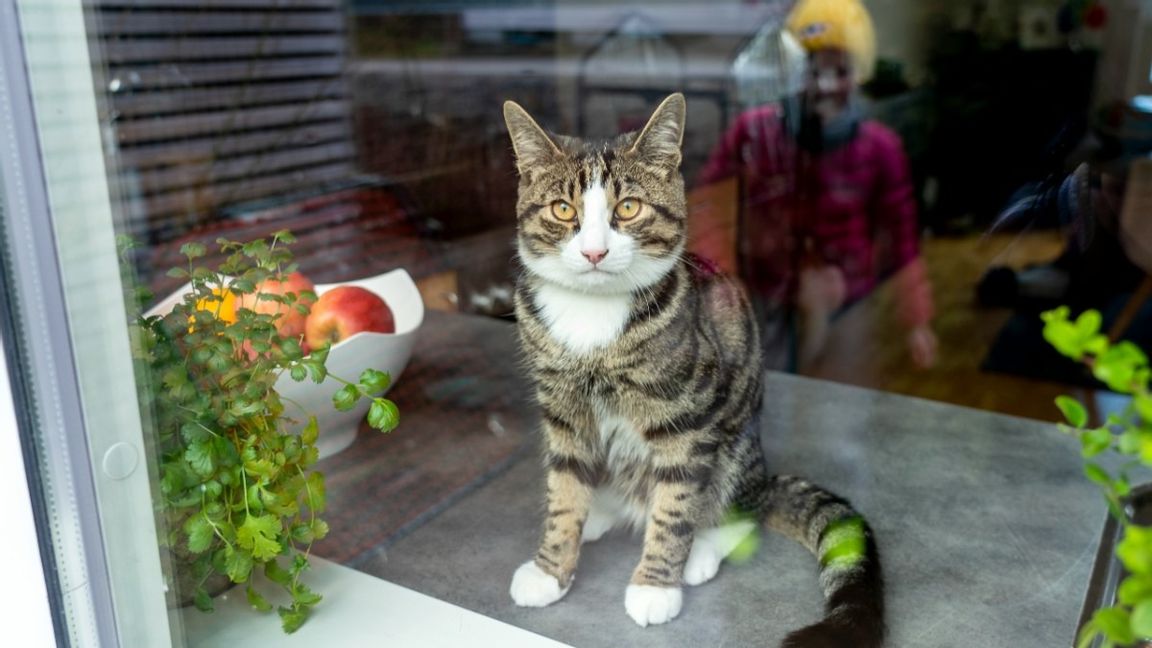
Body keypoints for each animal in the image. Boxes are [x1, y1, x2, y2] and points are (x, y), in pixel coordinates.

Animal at [499, 92, 884, 645]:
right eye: (563, 209)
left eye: (628, 208)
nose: (594, 251)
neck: (593, 324)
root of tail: (764, 475)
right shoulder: (563, 411)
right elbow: (564, 490)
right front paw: (552, 568)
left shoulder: (686, 417)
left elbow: (676, 503)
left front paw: (655, 585)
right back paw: (602, 511)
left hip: (736, 445)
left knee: (736, 507)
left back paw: (700, 550)